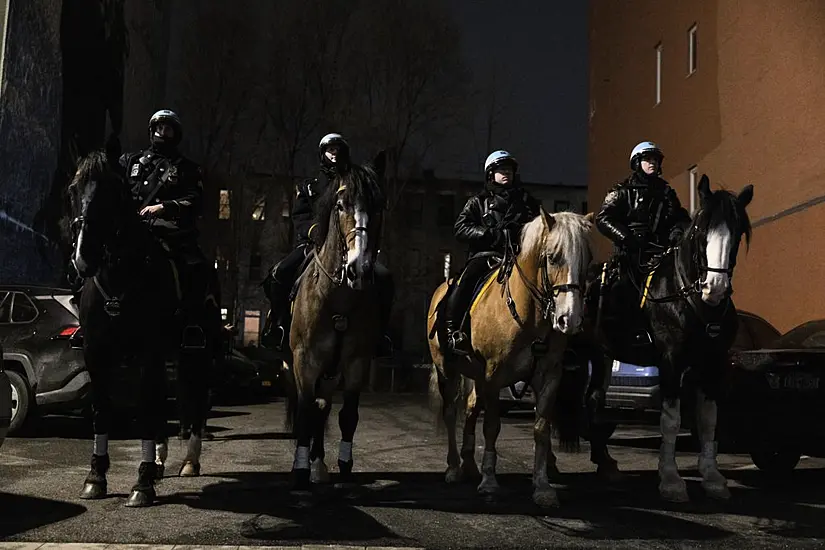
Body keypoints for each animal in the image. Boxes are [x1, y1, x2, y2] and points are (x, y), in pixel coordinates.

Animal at [68, 151, 222, 508]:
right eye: (72, 190)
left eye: (110, 193)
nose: (82, 258)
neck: (120, 277)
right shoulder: (96, 353)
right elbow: (103, 409)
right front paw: (96, 477)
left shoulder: (147, 352)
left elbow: (148, 409)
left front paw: (142, 483)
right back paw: (160, 462)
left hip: (198, 352)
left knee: (197, 398)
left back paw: (189, 461)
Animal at [284, 157, 386, 494]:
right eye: (341, 205)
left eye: (378, 205)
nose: (359, 269)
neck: (338, 299)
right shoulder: (304, 361)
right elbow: (305, 412)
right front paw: (300, 471)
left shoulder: (356, 362)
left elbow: (348, 416)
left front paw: (344, 467)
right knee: (312, 408)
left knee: (323, 406)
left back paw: (320, 464)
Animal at [424, 210, 592, 508]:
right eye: (553, 257)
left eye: (588, 259)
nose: (569, 319)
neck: (529, 316)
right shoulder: (494, 375)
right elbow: (492, 427)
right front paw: (490, 481)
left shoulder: (549, 376)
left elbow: (541, 428)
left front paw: (542, 486)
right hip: (447, 370)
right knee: (451, 412)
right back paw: (454, 468)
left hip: (475, 376)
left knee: (470, 408)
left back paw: (469, 465)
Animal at [568, 176, 748, 504]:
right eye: (701, 230)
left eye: (738, 232)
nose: (715, 287)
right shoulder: (671, 362)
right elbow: (671, 420)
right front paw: (671, 480)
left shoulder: (712, 364)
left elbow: (708, 421)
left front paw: (713, 478)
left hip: (599, 355)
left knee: (593, 402)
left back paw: (606, 463)